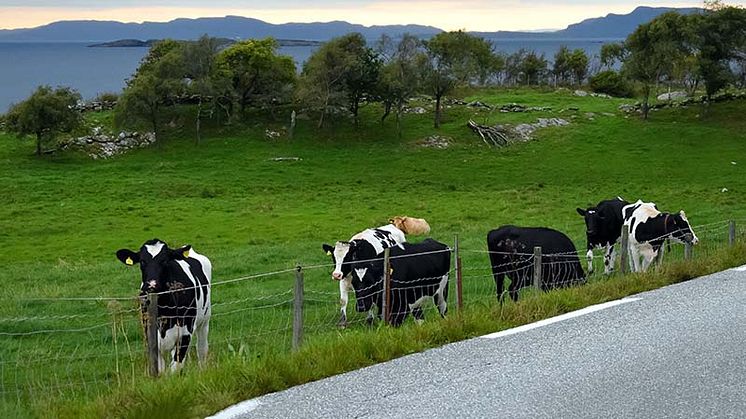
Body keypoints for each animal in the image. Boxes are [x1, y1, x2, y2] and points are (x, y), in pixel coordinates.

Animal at [116, 240, 211, 374]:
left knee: (202, 349)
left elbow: (175, 368)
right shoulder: (150, 335)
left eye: (165, 261)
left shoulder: (185, 333)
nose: (151, 285)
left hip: (204, 321)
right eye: (142, 261)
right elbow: (160, 369)